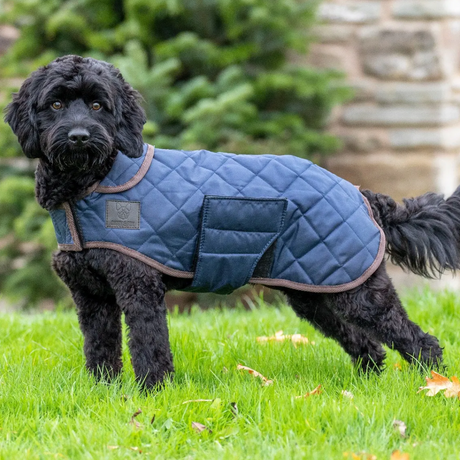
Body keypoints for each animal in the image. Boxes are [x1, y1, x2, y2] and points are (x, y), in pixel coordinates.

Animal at [5, 55, 460, 390]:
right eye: (56, 104)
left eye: (99, 105)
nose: (79, 136)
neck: (93, 181)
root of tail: (363, 193)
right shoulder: (90, 295)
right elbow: (100, 348)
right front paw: (105, 392)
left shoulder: (139, 287)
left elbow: (149, 345)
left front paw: (154, 393)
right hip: (316, 292)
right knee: (367, 343)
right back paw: (367, 383)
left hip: (358, 290)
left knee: (417, 338)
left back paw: (432, 383)